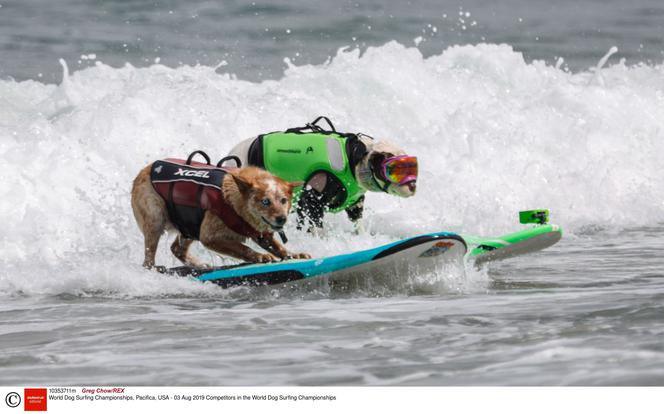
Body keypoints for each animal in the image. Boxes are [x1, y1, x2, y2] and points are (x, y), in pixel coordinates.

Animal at [134, 157, 316, 270]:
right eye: (265, 201)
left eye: (284, 200)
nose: (281, 219)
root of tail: (144, 169)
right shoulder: (210, 236)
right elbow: (241, 247)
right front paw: (260, 256)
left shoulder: (261, 232)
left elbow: (277, 246)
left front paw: (292, 254)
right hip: (155, 218)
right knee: (147, 259)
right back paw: (154, 268)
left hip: (190, 225)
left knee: (177, 249)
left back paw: (199, 265)